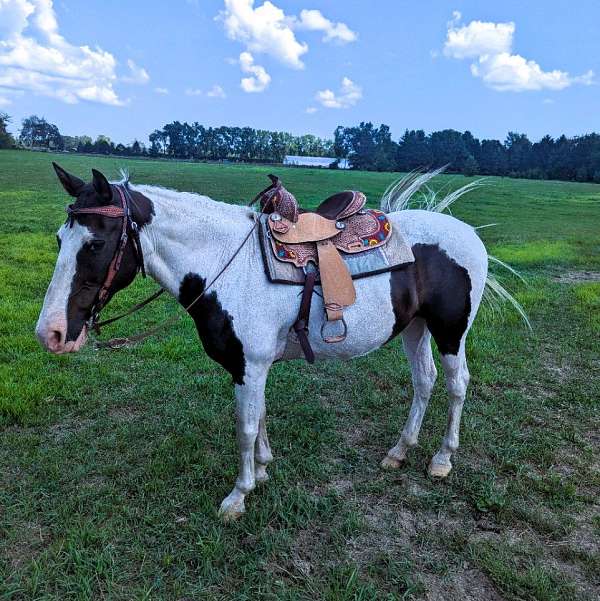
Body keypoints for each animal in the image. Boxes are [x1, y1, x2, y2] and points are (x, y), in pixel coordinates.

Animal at [35, 165, 490, 520]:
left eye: (95, 242)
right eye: (58, 238)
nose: (51, 333)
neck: (226, 264)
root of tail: (464, 231)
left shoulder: (248, 366)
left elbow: (245, 426)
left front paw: (239, 494)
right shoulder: (253, 367)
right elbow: (261, 416)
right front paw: (265, 468)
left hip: (451, 332)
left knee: (456, 385)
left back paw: (442, 459)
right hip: (415, 327)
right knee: (424, 381)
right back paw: (399, 451)